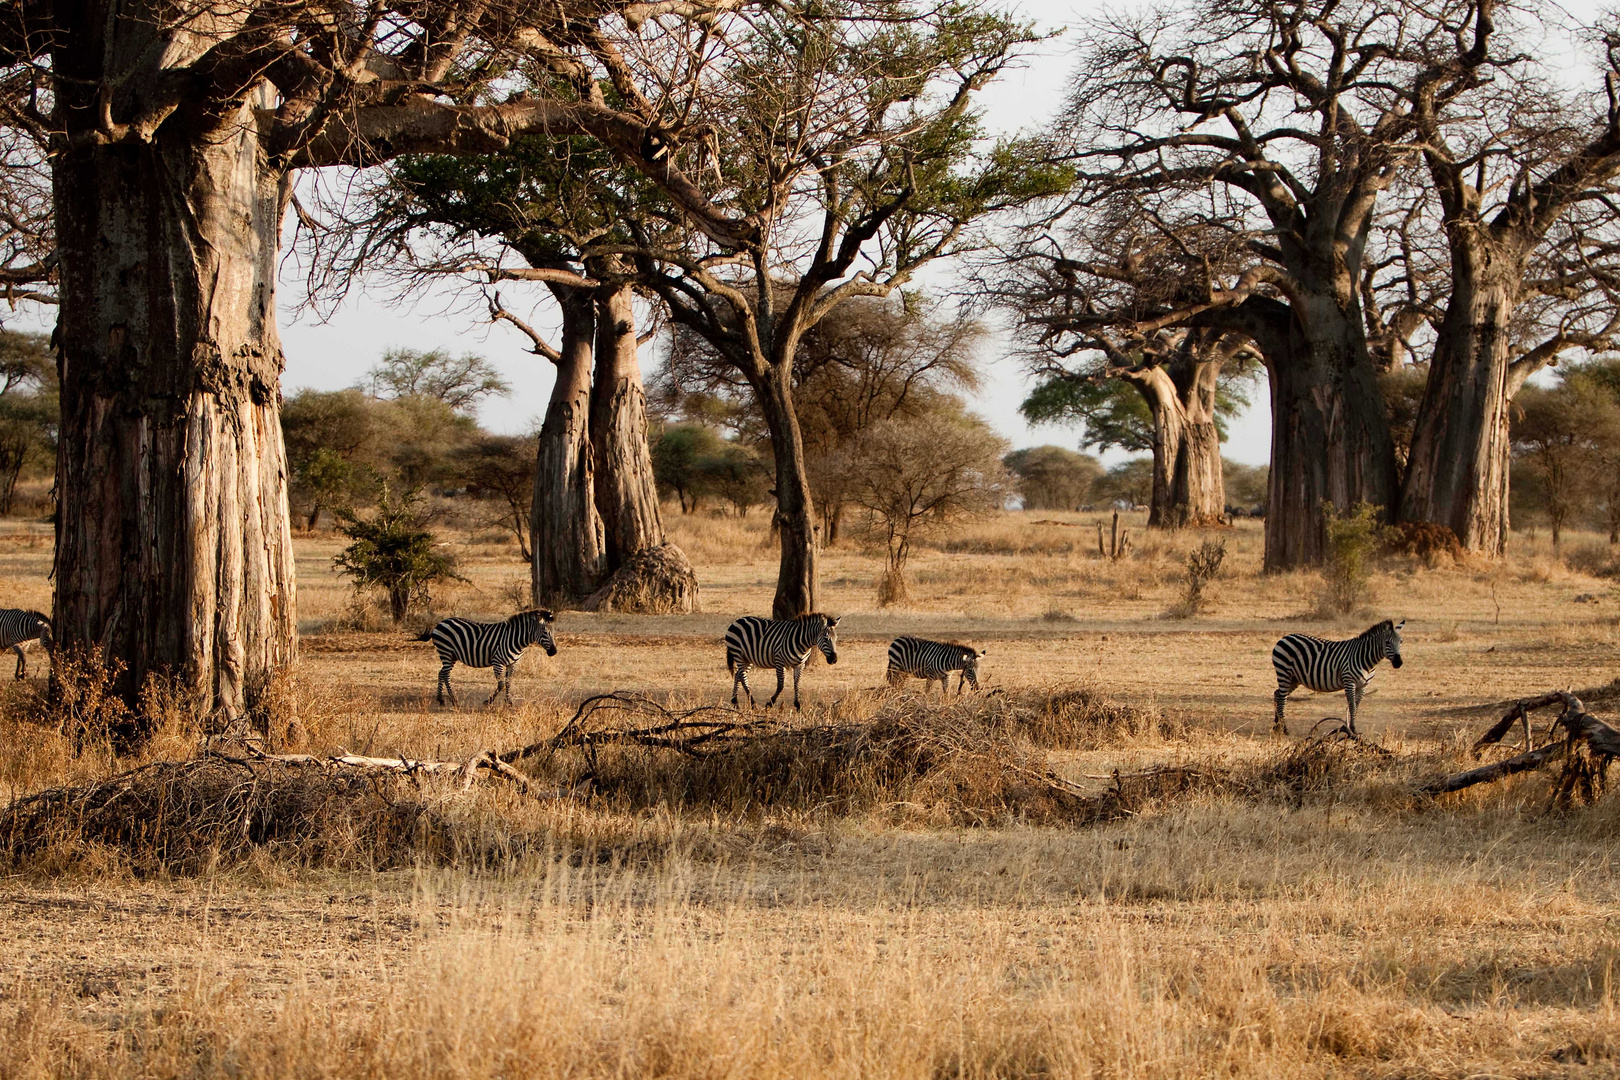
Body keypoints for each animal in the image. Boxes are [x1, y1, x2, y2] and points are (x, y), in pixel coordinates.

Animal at [417, 608, 557, 709]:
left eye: (553, 633)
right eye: (545, 633)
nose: (554, 652)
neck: (515, 640)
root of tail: (441, 622)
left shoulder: (512, 664)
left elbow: (508, 682)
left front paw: (509, 701)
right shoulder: (497, 662)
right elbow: (501, 684)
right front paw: (488, 701)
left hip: (452, 656)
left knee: (441, 672)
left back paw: (440, 699)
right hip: (445, 651)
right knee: (446, 674)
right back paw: (454, 700)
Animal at [1270, 621, 1399, 738]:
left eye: (1401, 642)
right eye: (1387, 642)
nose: (1399, 662)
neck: (1365, 660)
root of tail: (1285, 637)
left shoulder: (1363, 686)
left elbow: (1356, 706)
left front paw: (1353, 729)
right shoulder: (1349, 681)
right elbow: (1352, 706)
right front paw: (1352, 730)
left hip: (1294, 678)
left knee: (1278, 694)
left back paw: (1277, 726)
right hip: (1284, 671)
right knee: (1282, 698)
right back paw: (1284, 729)